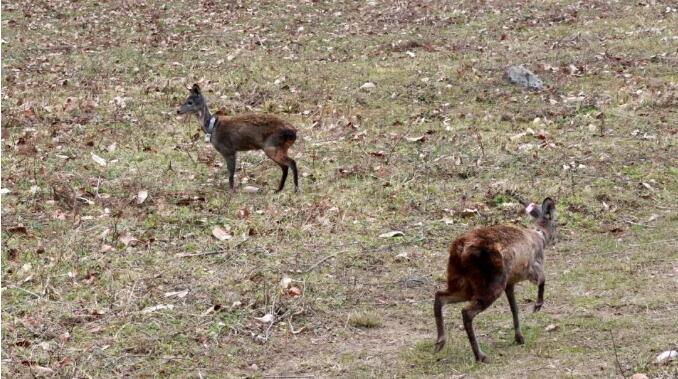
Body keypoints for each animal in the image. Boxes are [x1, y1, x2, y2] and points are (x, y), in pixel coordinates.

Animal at [436, 194, 556, 364]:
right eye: (555, 223)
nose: (555, 238)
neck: (540, 235)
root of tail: (459, 249)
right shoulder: (532, 267)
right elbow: (543, 279)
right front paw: (537, 305)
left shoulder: (510, 282)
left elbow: (514, 307)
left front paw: (519, 337)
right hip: (492, 282)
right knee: (466, 312)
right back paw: (480, 355)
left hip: (462, 281)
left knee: (440, 295)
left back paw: (440, 342)